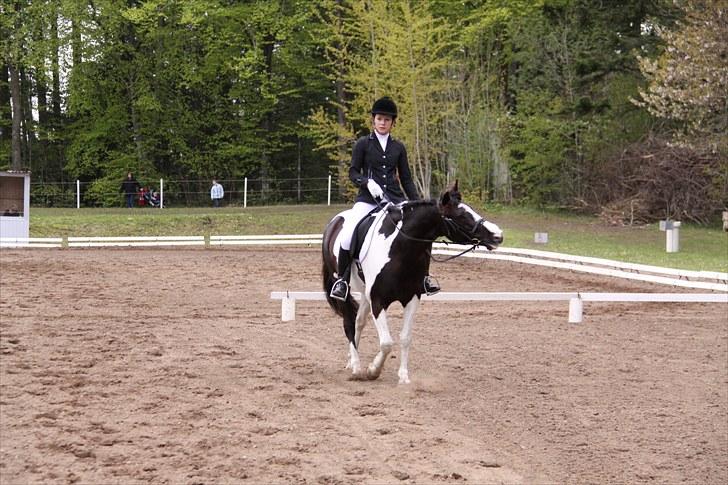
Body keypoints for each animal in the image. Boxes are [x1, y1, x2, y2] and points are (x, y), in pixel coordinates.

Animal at [322, 182, 504, 382]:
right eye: (462, 216)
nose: (498, 235)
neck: (400, 251)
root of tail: (335, 221)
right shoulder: (378, 300)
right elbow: (386, 343)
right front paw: (372, 370)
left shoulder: (412, 298)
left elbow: (405, 338)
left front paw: (403, 376)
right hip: (344, 289)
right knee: (348, 323)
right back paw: (355, 367)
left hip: (364, 292)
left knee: (358, 322)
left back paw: (350, 361)